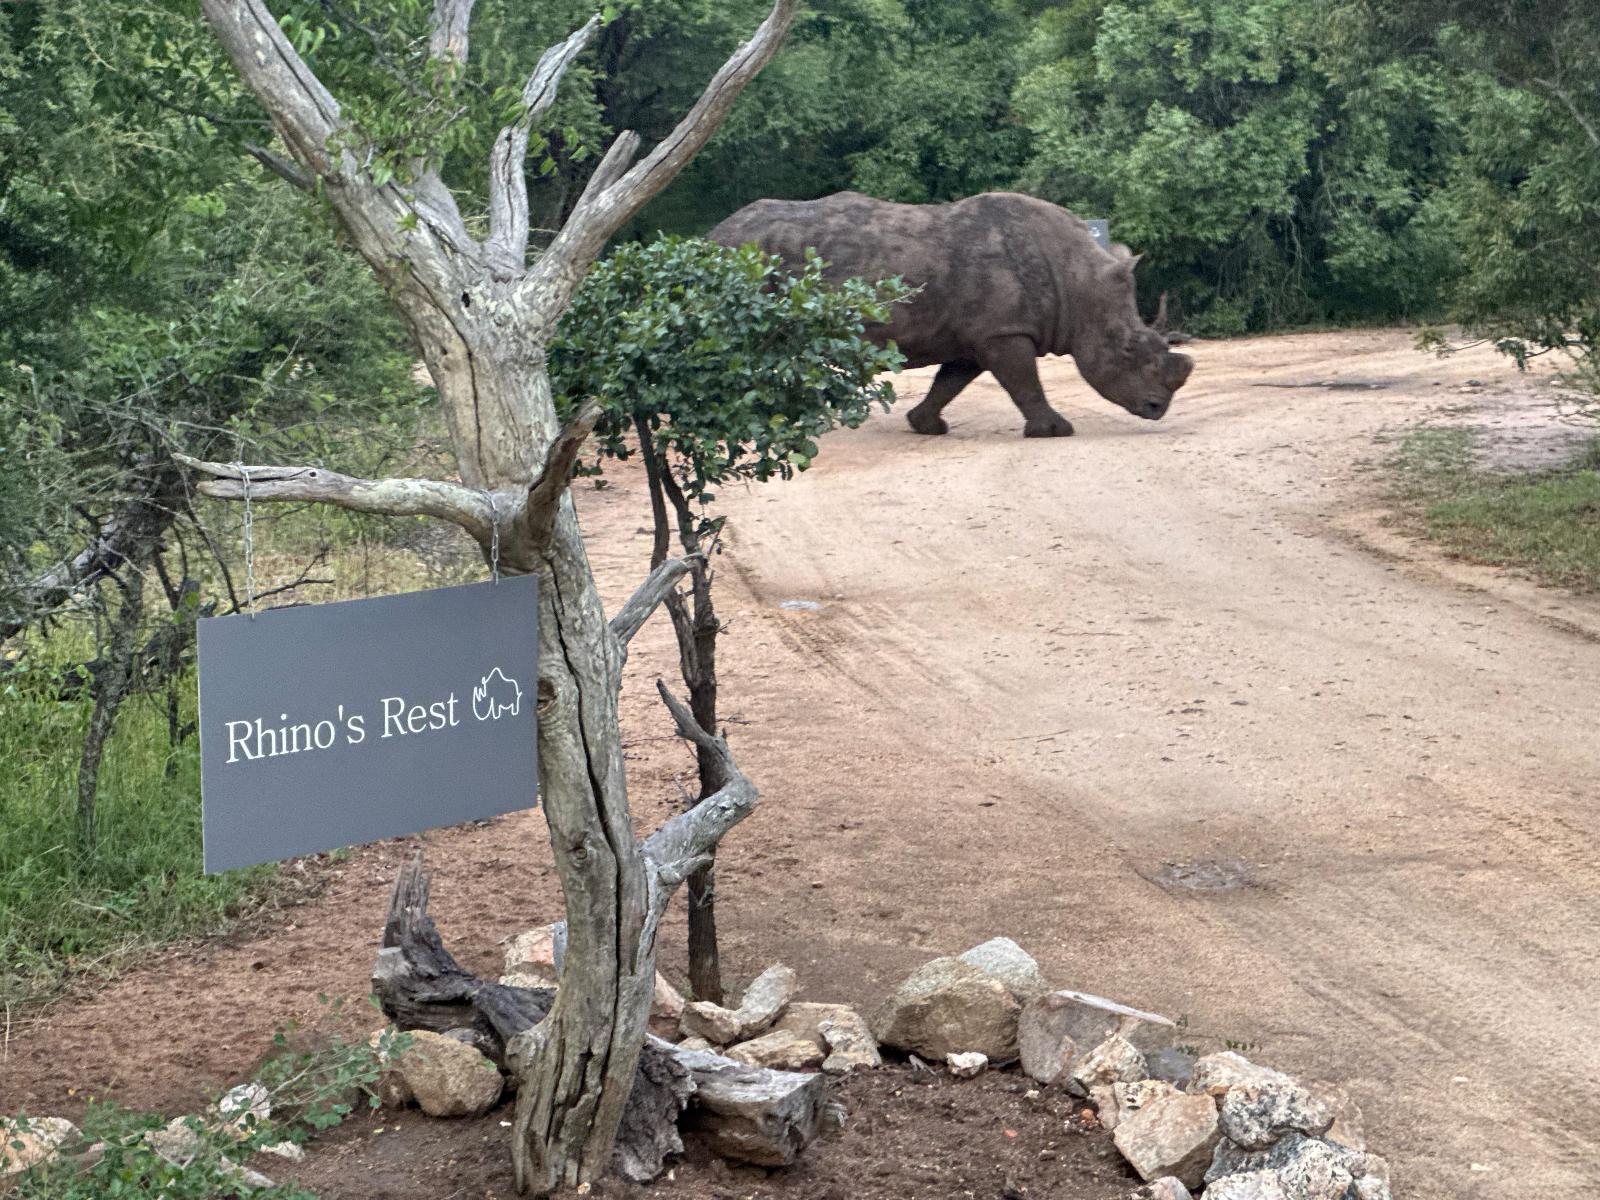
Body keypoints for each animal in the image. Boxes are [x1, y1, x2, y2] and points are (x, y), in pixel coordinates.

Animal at [707, 191, 1193, 437]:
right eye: (1128, 349)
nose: (1157, 409)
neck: (1077, 280)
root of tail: (713, 234)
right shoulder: (1005, 331)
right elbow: (1025, 383)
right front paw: (1056, 430)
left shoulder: (979, 333)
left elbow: (950, 382)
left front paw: (926, 426)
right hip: (747, 262)